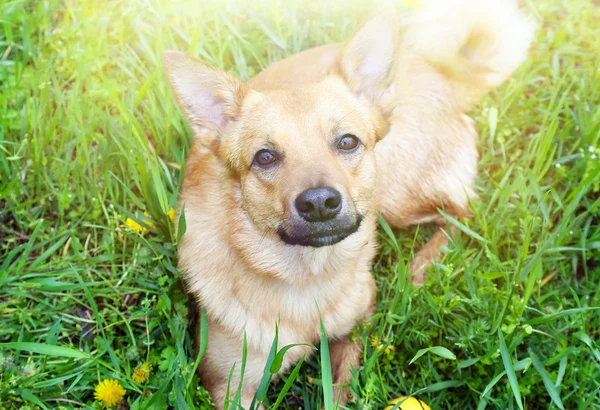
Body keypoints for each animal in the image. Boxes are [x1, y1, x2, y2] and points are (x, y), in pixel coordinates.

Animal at [164, 0, 536, 406]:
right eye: (264, 157)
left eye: (347, 141)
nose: (319, 203)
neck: (308, 278)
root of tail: (443, 76)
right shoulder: (230, 387)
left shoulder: (358, 325)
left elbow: (343, 390)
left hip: (394, 196)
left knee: (463, 212)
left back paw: (419, 267)